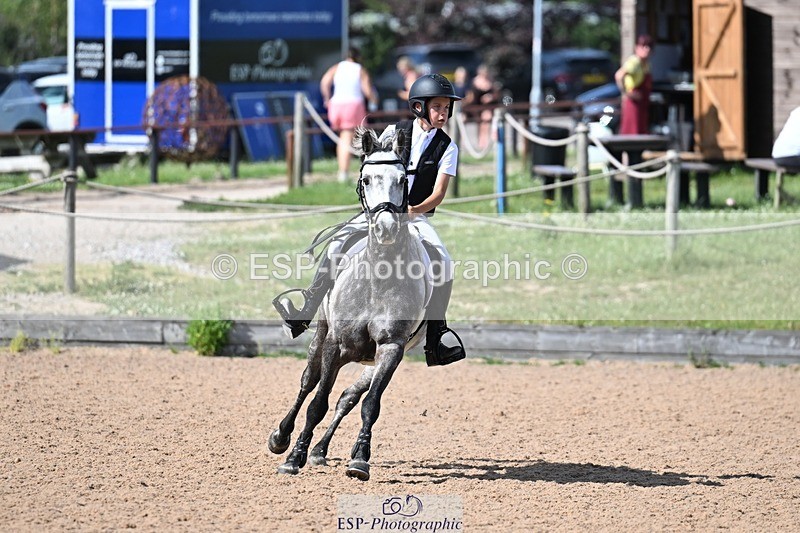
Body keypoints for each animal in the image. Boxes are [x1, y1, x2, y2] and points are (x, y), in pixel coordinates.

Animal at [267, 126, 429, 481]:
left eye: (402, 179)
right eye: (366, 179)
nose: (386, 229)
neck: (379, 276)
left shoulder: (391, 348)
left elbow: (369, 404)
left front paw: (360, 460)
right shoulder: (335, 344)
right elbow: (317, 402)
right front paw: (293, 457)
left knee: (348, 397)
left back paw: (320, 450)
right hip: (321, 333)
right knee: (308, 383)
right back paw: (283, 437)